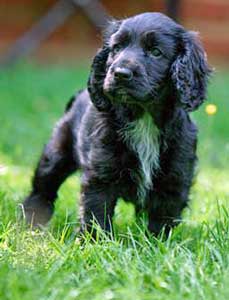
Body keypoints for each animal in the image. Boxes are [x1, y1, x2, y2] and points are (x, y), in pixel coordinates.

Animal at [23, 12, 211, 236]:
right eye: (116, 48)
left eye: (156, 52)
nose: (120, 73)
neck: (143, 118)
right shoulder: (101, 174)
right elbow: (96, 213)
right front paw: (94, 241)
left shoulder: (175, 178)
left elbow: (162, 221)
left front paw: (156, 242)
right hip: (57, 152)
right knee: (43, 188)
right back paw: (32, 225)